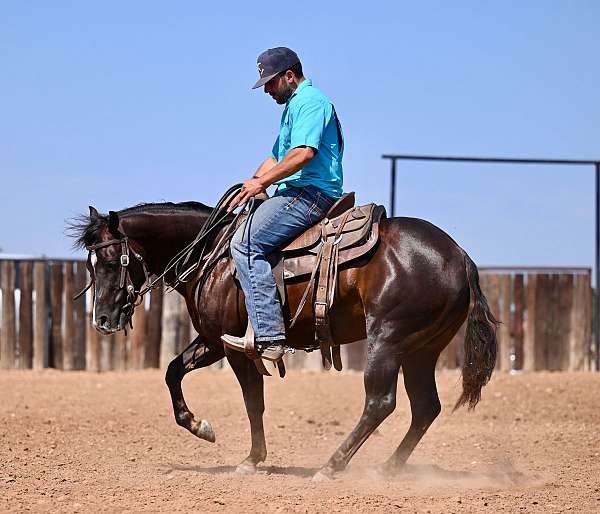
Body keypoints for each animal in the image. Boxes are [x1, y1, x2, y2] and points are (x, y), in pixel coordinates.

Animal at [70, 198, 496, 478]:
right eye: (90, 264)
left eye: (111, 261)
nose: (102, 319)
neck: (212, 257)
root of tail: (460, 255)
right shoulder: (213, 340)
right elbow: (172, 371)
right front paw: (199, 426)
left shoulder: (237, 349)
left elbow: (252, 402)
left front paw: (251, 459)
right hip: (421, 350)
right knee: (425, 407)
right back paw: (388, 468)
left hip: (388, 341)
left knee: (380, 403)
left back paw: (332, 466)